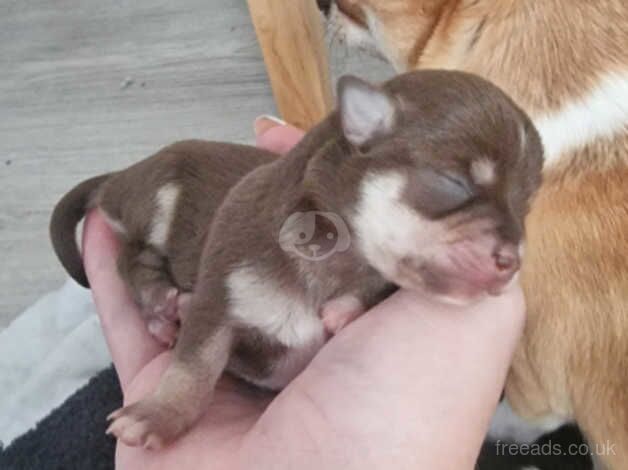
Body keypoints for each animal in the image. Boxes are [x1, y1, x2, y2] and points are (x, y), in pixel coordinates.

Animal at [105, 70, 544, 448]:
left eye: (525, 206)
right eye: (454, 183)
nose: (513, 260)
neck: (337, 255)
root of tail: (123, 176)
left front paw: (346, 308)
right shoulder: (218, 297)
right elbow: (194, 365)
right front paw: (158, 413)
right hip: (160, 196)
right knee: (129, 257)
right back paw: (161, 304)